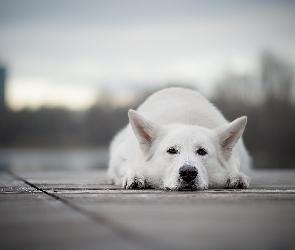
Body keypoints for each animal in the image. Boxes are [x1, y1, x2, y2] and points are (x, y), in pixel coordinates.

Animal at [108, 87, 252, 190]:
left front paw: (235, 176)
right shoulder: (120, 157)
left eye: (202, 151)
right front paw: (135, 175)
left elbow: (234, 168)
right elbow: (128, 166)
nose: (188, 172)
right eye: (171, 150)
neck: (183, 120)